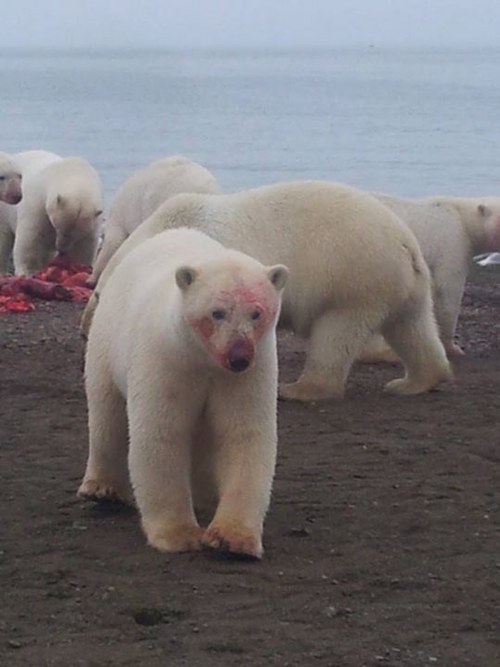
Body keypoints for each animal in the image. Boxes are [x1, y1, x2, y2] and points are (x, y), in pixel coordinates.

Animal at [78, 227, 288, 559]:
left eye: (256, 313)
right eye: (217, 313)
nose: (239, 357)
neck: (203, 356)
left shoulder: (249, 372)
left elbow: (243, 434)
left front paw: (232, 540)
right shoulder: (169, 358)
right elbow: (162, 432)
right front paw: (180, 535)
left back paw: (205, 495)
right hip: (107, 341)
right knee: (106, 413)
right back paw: (101, 489)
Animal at [81, 180, 452, 402]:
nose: (86, 332)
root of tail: (405, 243)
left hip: (353, 278)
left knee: (336, 334)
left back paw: (299, 389)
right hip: (404, 284)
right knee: (413, 326)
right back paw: (414, 381)